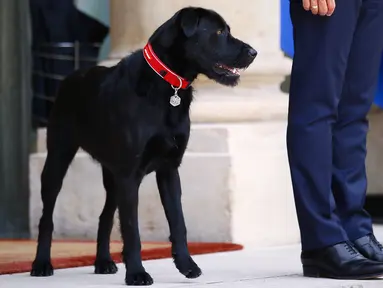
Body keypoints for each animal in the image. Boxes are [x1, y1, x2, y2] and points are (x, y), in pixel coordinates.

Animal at [30, 6, 258, 286]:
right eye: (219, 32)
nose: (254, 52)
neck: (167, 82)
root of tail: (72, 77)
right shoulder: (129, 175)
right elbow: (132, 229)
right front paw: (137, 272)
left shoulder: (169, 170)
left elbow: (178, 223)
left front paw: (186, 265)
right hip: (58, 159)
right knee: (47, 217)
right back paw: (42, 263)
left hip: (112, 176)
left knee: (105, 216)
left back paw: (103, 261)